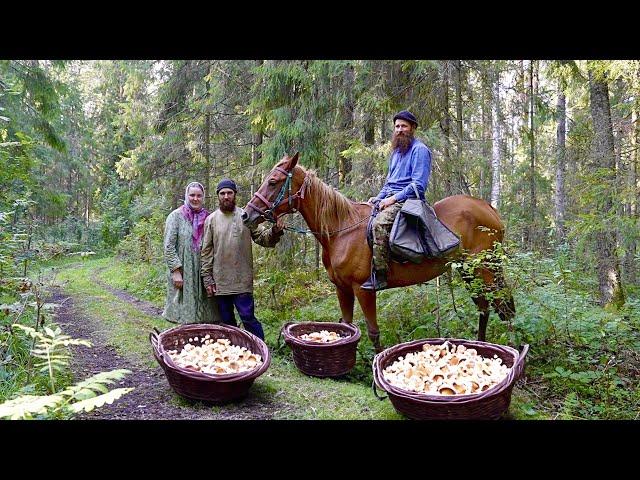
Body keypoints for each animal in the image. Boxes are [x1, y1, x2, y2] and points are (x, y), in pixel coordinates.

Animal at [242, 153, 516, 352]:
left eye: (273, 182)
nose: (247, 214)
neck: (341, 230)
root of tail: (489, 209)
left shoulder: (363, 290)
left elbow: (373, 332)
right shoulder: (342, 288)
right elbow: (346, 326)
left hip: (485, 270)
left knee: (505, 307)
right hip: (469, 273)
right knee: (485, 308)